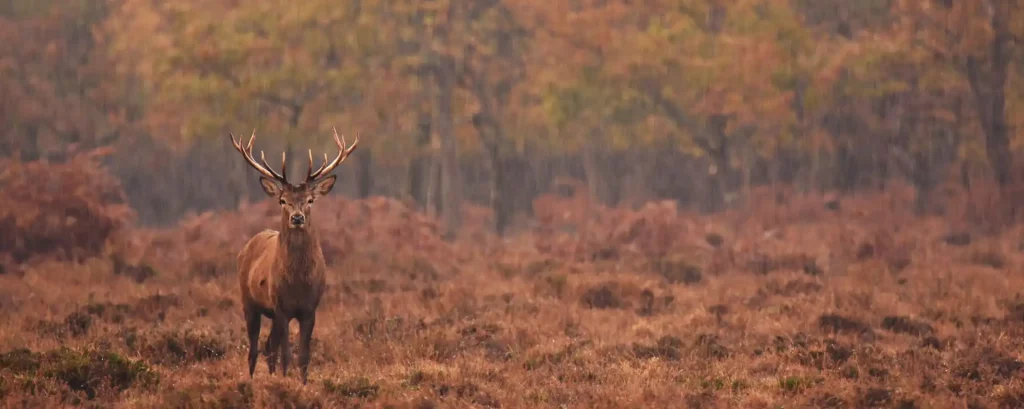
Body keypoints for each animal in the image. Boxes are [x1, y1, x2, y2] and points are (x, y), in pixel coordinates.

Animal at [229, 128, 358, 385]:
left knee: (269, 347)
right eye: (282, 200)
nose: (297, 217)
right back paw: (250, 382)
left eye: (310, 200)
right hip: (249, 302)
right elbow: (286, 355)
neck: (298, 281)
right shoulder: (282, 307)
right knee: (255, 349)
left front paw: (302, 384)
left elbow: (304, 356)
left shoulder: (310, 309)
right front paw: (285, 382)